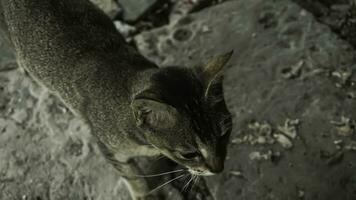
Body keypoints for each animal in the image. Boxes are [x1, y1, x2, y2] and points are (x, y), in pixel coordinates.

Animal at [0, 0, 234, 198]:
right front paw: (143, 194)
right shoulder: (108, 148)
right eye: (188, 153)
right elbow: (131, 176)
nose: (218, 168)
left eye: (224, 134)